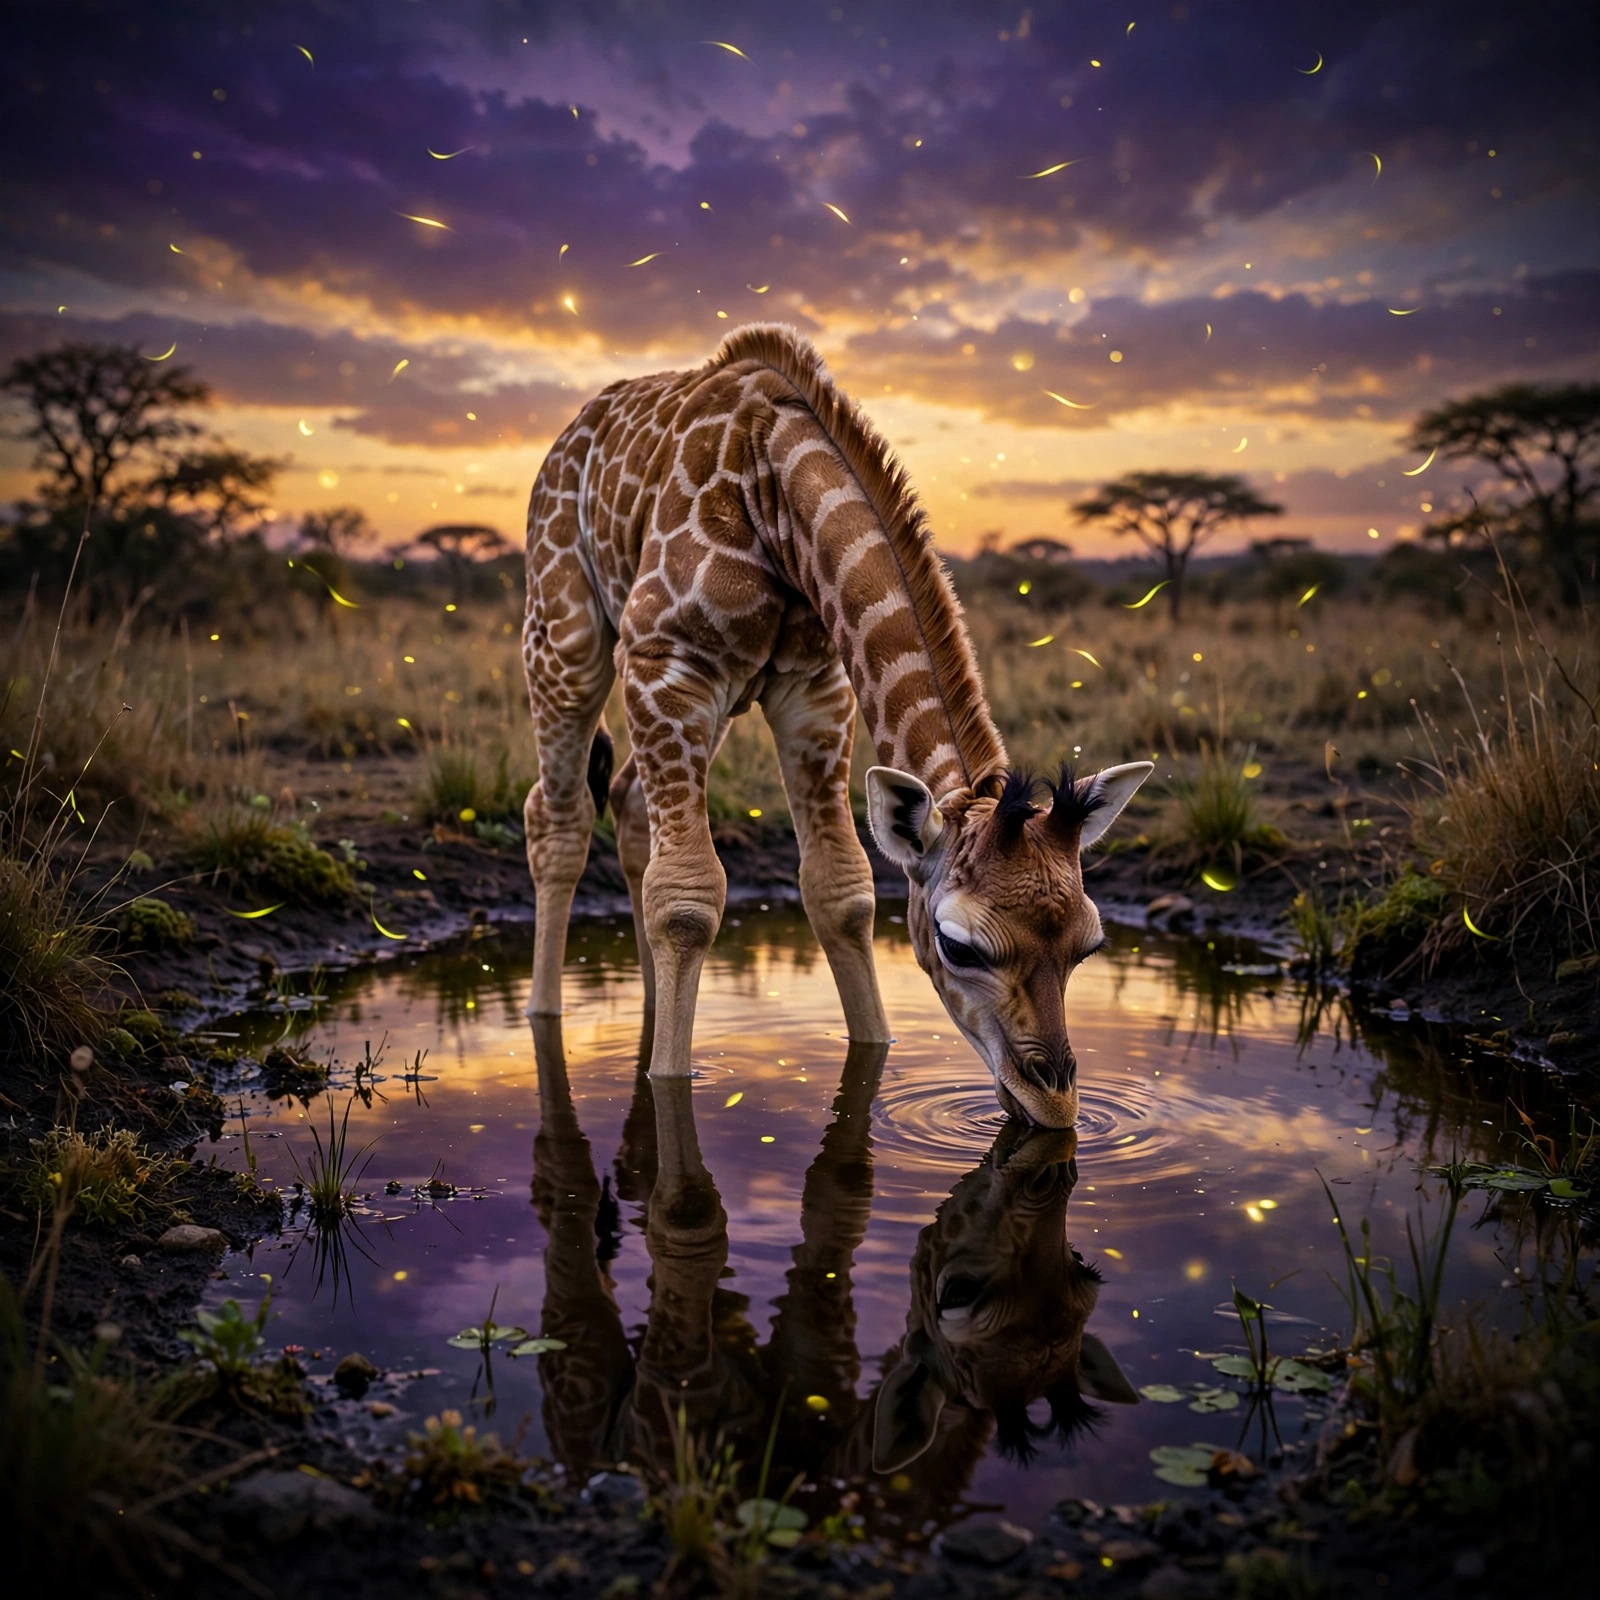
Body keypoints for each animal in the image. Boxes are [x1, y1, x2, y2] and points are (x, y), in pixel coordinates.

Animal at [521, 323, 1151, 1127]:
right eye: (959, 945)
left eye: (1088, 945)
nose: (1055, 1104)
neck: (772, 492)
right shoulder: (669, 661)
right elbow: (689, 900)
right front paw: (668, 1080)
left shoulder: (814, 688)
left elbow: (841, 889)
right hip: (567, 636)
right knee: (558, 816)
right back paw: (544, 1014)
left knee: (629, 800)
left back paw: (655, 1009)